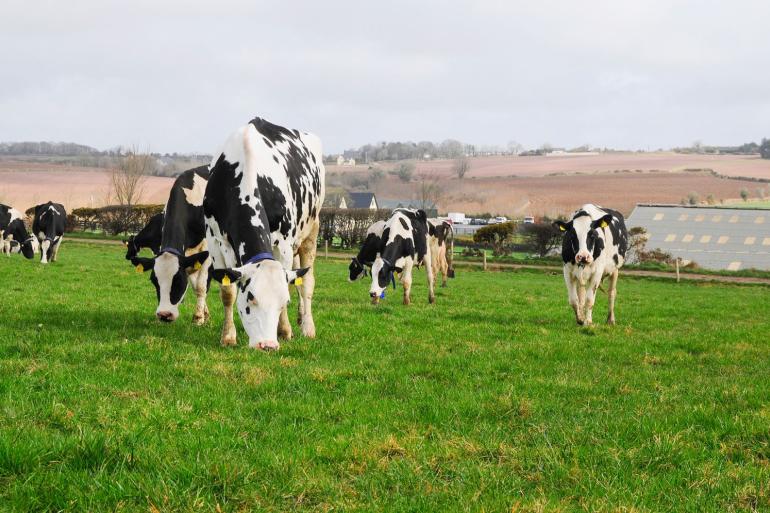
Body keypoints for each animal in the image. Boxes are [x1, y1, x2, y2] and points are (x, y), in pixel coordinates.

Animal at [130, 165, 212, 324]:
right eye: (154, 281)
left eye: (178, 280)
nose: (164, 314)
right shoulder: (186, 255)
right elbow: (195, 284)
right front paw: (204, 314)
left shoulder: (208, 249)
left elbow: (200, 286)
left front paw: (198, 318)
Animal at [200, 116, 322, 350]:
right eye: (251, 298)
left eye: (283, 302)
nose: (268, 345)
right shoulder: (215, 239)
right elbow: (228, 291)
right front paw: (228, 336)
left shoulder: (284, 243)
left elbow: (290, 285)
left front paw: (284, 330)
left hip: (312, 230)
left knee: (307, 284)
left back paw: (307, 327)